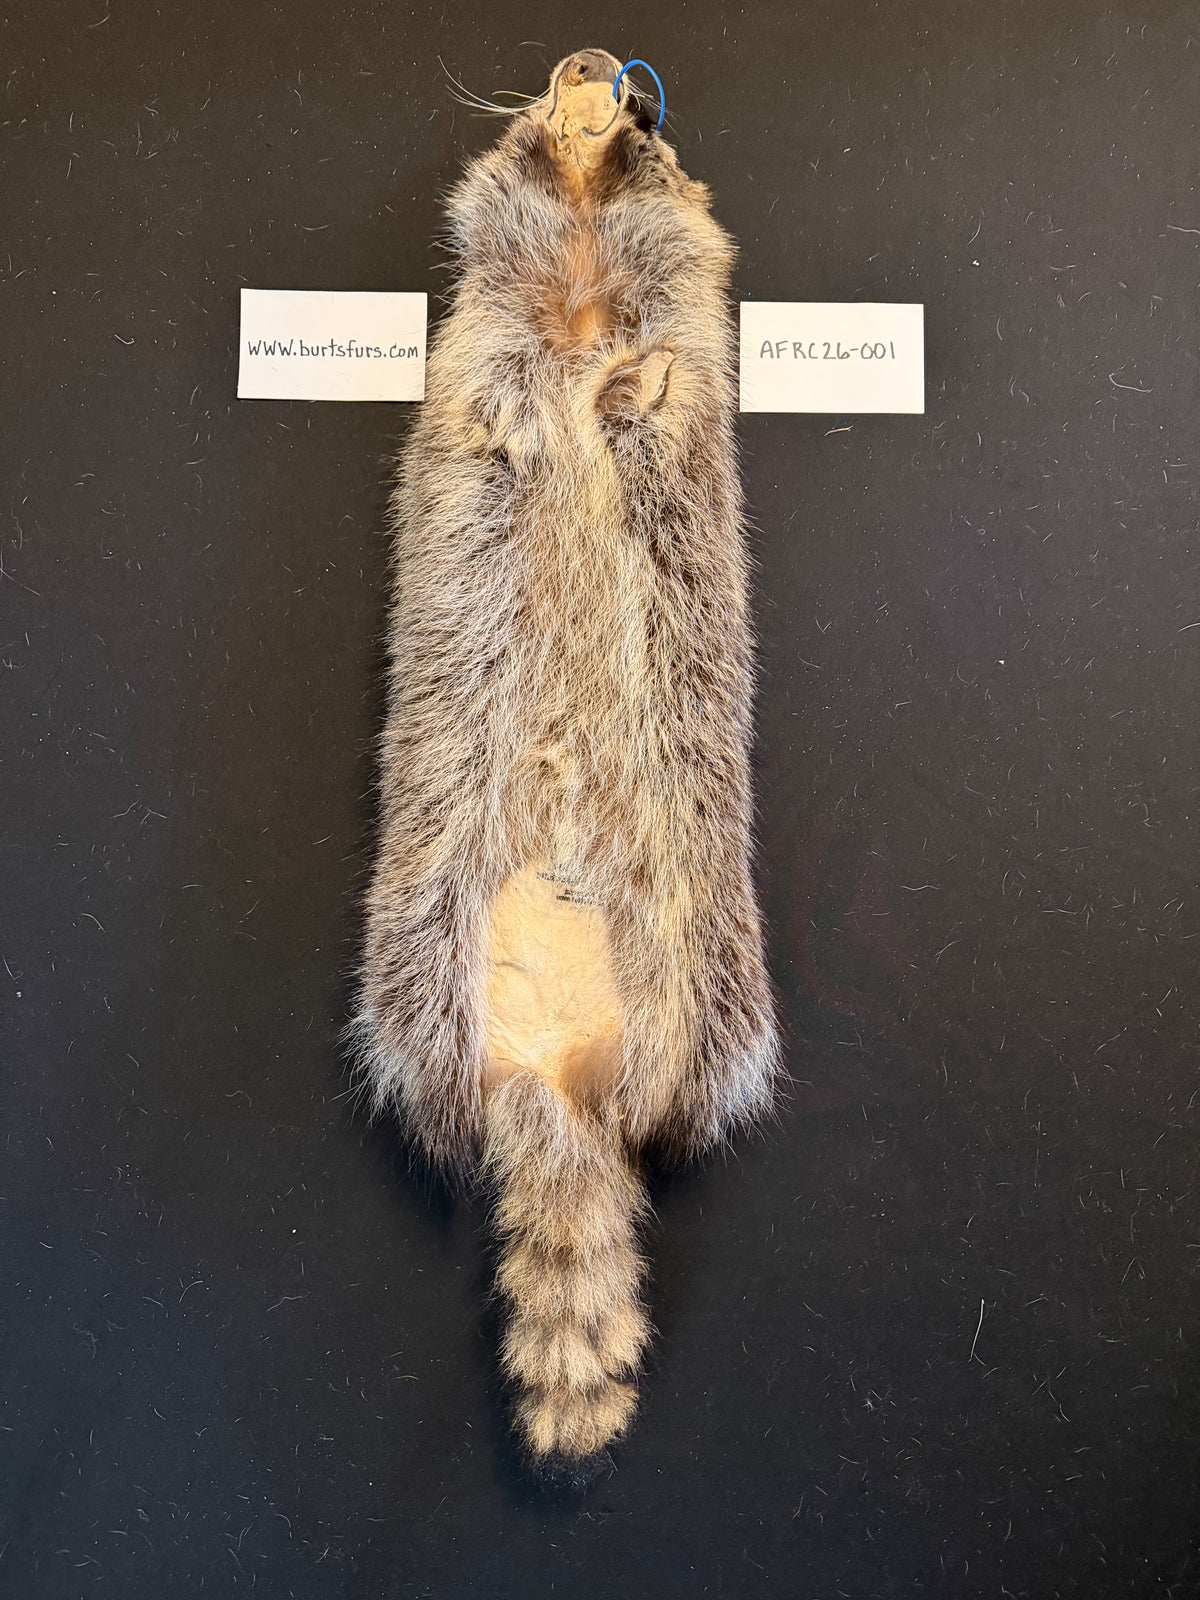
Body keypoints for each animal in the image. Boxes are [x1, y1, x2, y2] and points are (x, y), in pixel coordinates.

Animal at [352, 48, 781, 1479]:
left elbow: (665, 397)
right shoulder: (481, 347)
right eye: (553, 105)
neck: (587, 281)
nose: (596, 68)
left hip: (703, 969)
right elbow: (486, 403)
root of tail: (553, 1077)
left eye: (647, 121)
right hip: (422, 939)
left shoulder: (684, 356)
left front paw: (626, 398)